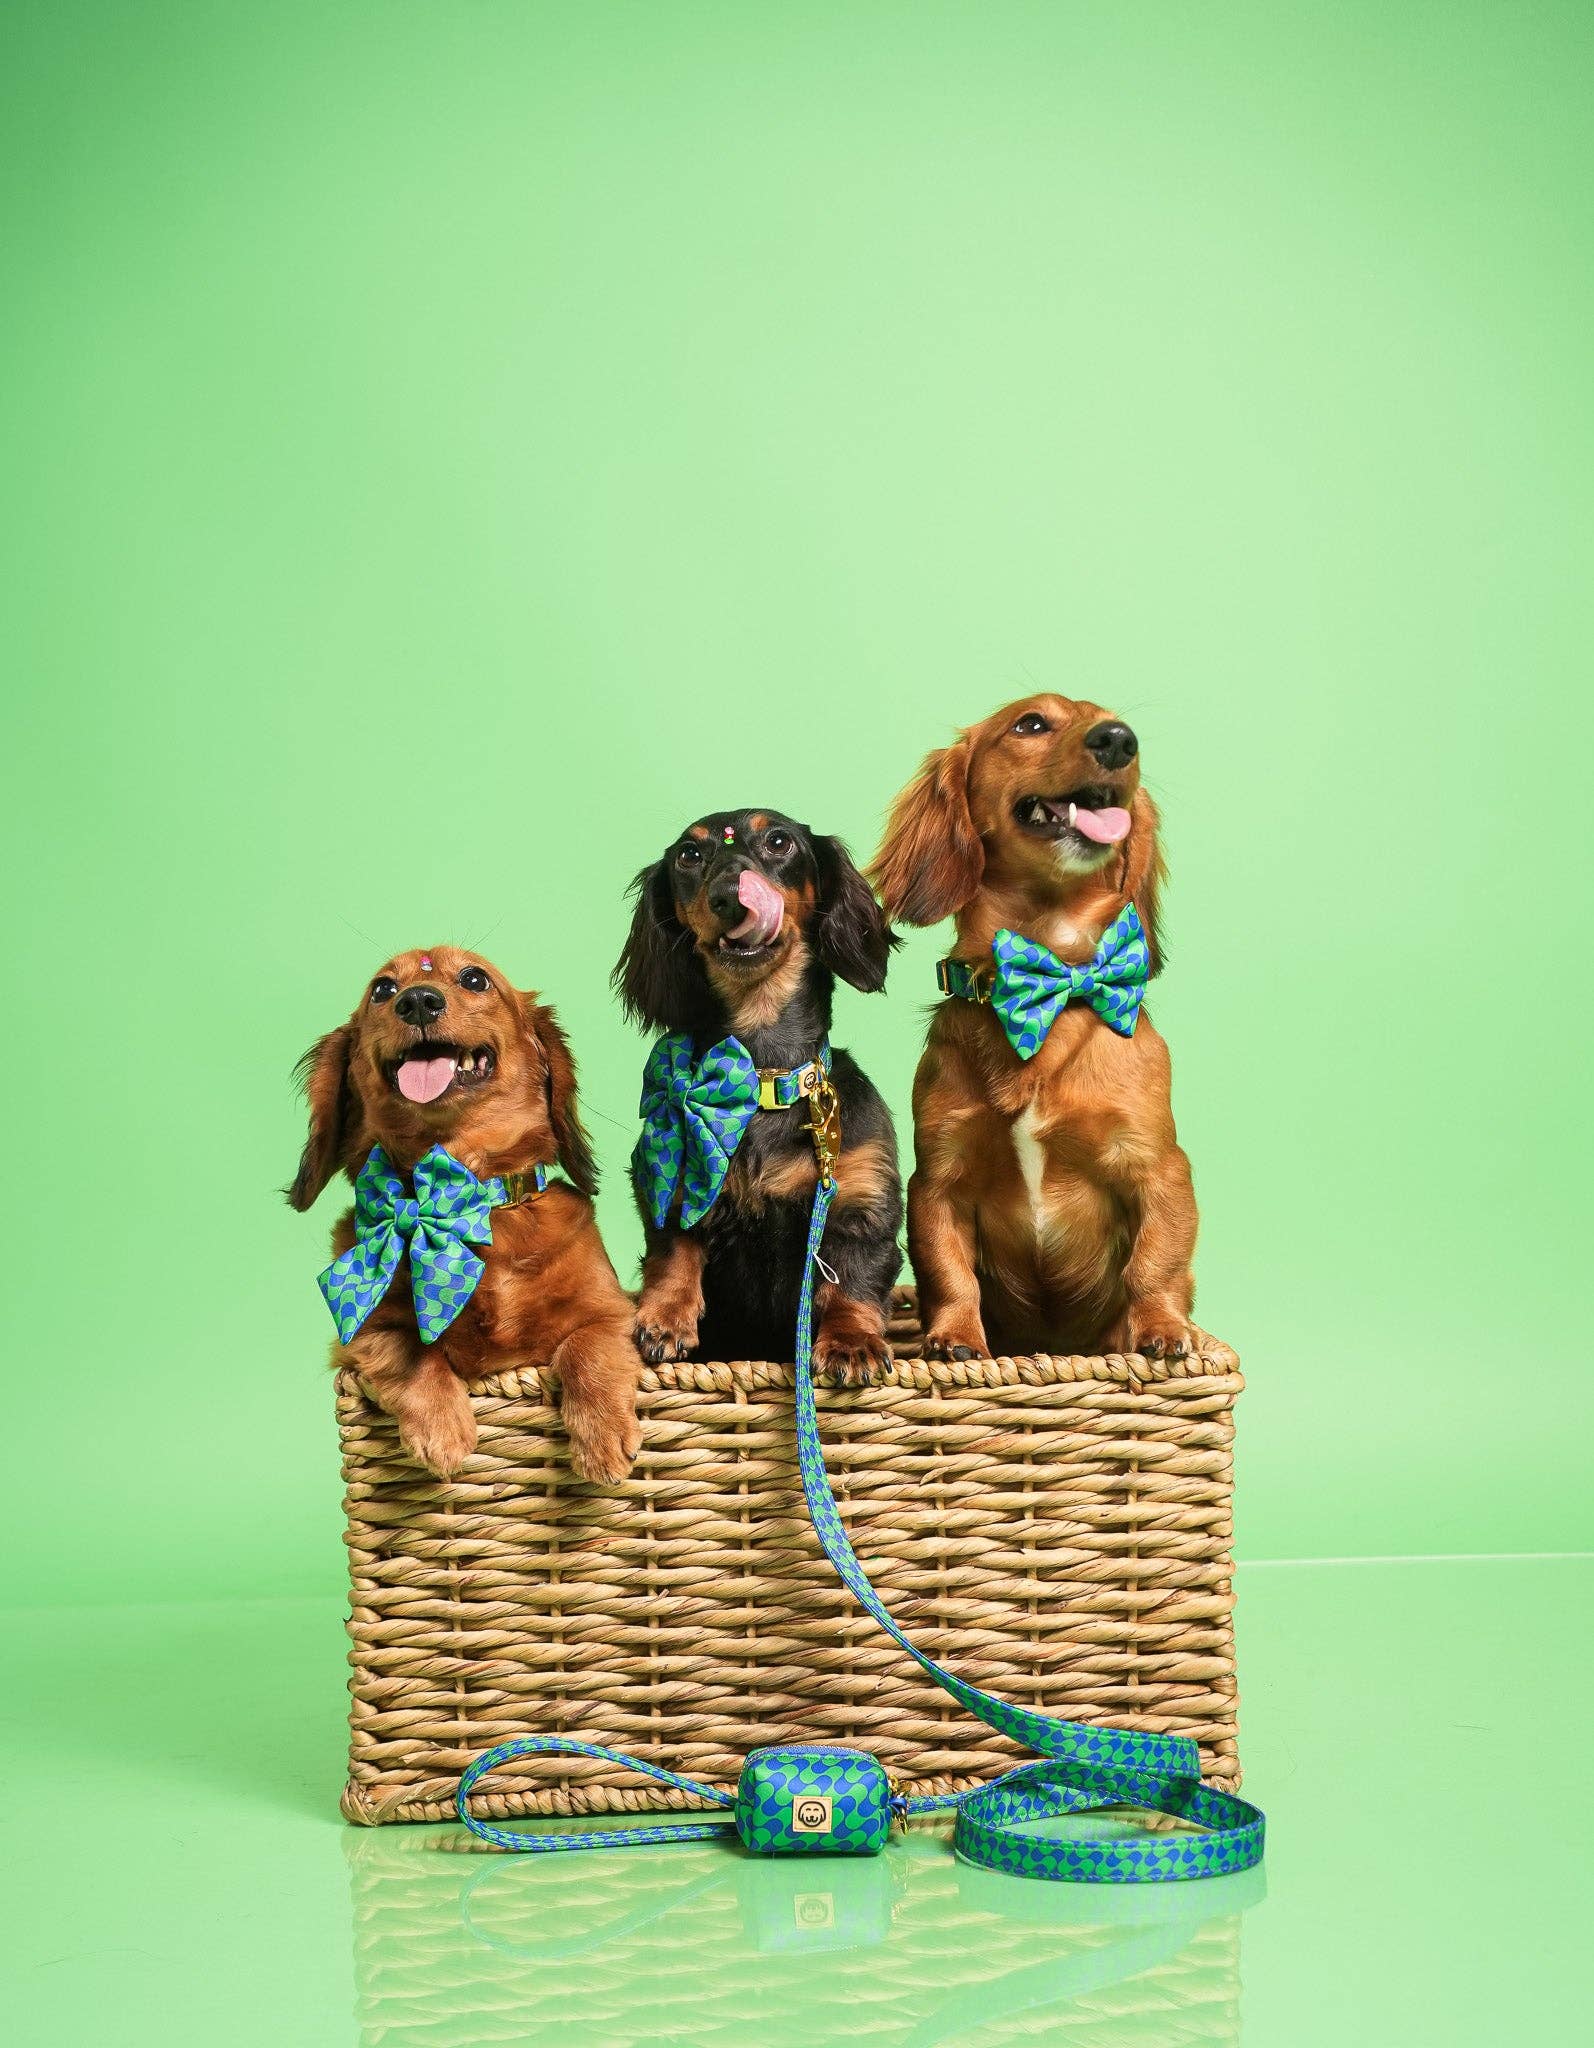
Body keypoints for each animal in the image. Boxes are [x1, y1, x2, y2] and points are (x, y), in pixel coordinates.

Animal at [288, 946, 643, 1482]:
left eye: (475, 979)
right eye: (382, 989)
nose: (417, 1001)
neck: (461, 1195)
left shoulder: (612, 1310)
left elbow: (588, 1348)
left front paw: (602, 1437)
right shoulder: (361, 1334)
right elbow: (409, 1350)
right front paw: (441, 1429)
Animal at [614, 810, 903, 1378]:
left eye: (778, 841)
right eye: (689, 855)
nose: (730, 896)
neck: (762, 1079)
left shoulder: (862, 1202)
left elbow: (854, 1280)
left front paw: (852, 1342)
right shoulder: (673, 1179)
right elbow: (672, 1249)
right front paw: (665, 1319)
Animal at [870, 694, 1206, 1362]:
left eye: (1118, 724)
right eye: (1030, 723)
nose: (1119, 739)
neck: (1052, 975)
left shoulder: (1158, 1165)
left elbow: (1155, 1264)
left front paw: (1160, 1328)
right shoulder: (939, 1178)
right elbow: (948, 1273)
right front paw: (955, 1338)